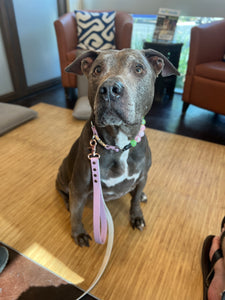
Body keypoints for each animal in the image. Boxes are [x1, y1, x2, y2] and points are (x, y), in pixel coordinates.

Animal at [56, 48, 179, 246]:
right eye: (97, 70)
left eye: (138, 68)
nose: (109, 89)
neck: (120, 146)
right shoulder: (79, 187)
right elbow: (76, 214)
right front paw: (78, 233)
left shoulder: (143, 176)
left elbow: (135, 201)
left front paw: (136, 216)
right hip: (64, 175)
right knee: (63, 193)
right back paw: (67, 202)